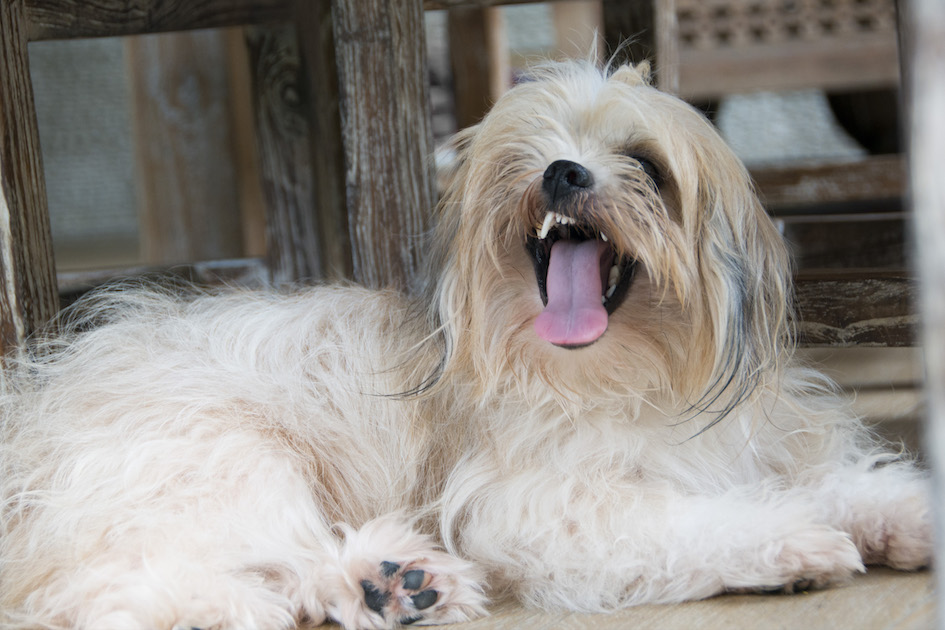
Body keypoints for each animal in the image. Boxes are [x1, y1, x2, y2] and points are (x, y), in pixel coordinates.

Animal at [0, 60, 928, 630]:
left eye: (643, 163)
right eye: (524, 155)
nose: (561, 171)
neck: (629, 375)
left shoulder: (744, 449)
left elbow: (826, 481)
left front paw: (902, 512)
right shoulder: (545, 506)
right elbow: (699, 520)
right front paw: (792, 541)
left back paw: (396, 584)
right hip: (232, 462)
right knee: (134, 584)